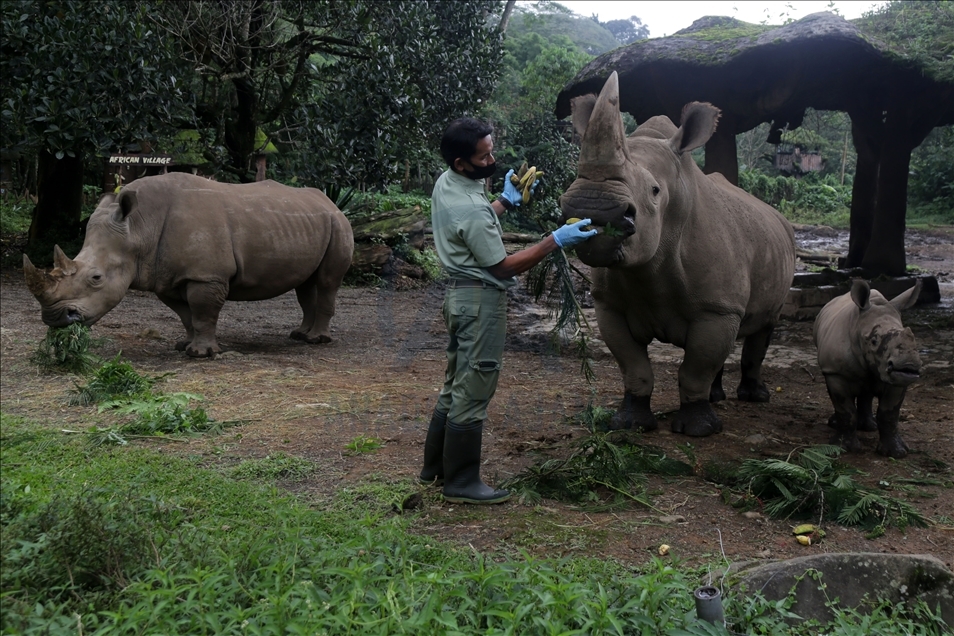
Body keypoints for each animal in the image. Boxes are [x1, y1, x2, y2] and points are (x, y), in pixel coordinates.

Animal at [25, 171, 354, 356]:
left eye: (96, 278)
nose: (55, 319)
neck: (139, 228)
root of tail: (329, 201)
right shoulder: (167, 276)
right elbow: (185, 314)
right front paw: (184, 346)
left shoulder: (206, 275)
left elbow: (203, 311)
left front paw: (202, 354)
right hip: (310, 222)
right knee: (306, 286)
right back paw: (299, 335)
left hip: (338, 224)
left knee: (327, 282)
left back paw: (316, 341)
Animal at [560, 71, 792, 438]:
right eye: (576, 177)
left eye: (655, 191)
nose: (592, 208)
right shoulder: (609, 305)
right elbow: (635, 367)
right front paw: (630, 424)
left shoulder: (717, 308)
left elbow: (696, 368)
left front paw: (698, 430)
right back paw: (717, 397)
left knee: (763, 328)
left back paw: (755, 398)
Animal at [812, 278, 924, 458]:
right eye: (873, 341)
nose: (908, 365)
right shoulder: (835, 372)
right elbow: (846, 410)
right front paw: (844, 448)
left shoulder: (899, 379)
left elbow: (889, 413)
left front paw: (897, 453)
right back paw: (836, 424)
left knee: (867, 389)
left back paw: (869, 427)